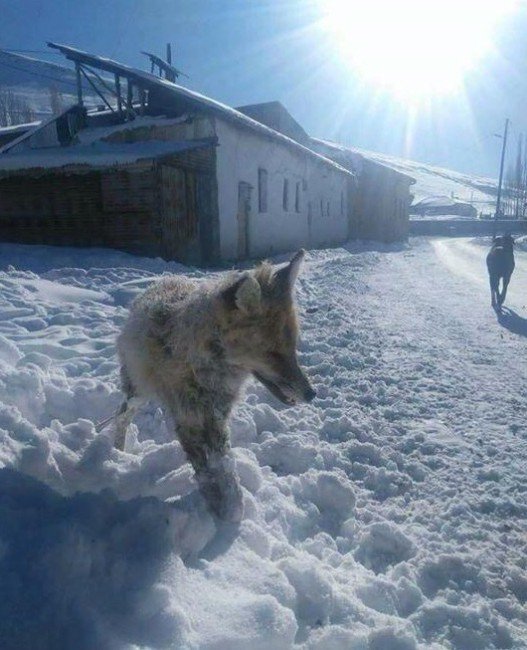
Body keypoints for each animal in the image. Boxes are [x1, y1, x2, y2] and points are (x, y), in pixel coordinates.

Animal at [114, 251, 316, 520]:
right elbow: (209, 474)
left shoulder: (217, 418)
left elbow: (224, 468)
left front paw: (234, 511)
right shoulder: (189, 419)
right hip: (138, 391)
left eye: (293, 347)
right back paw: (117, 452)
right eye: (272, 353)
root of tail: (165, 280)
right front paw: (225, 518)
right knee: (121, 415)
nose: (312, 394)